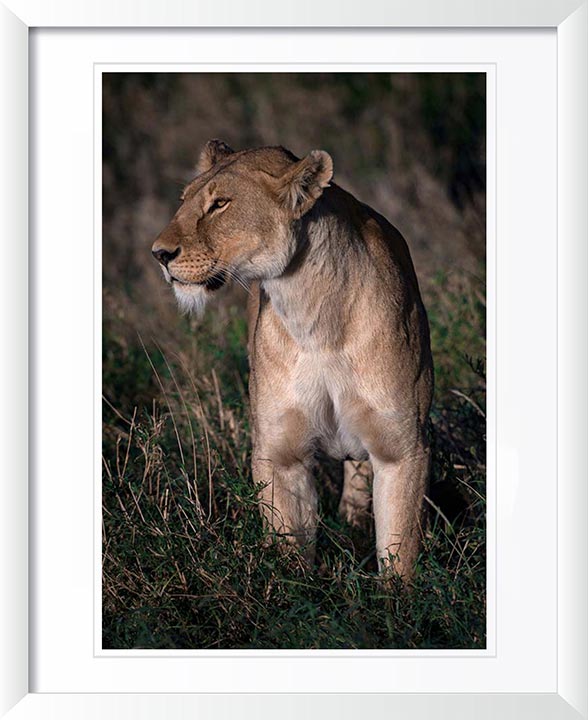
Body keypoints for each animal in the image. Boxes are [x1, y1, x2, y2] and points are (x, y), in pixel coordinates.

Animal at [152, 139, 433, 580]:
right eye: (184, 201)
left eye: (220, 204)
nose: (159, 254)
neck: (314, 318)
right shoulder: (279, 453)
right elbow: (289, 551)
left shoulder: (403, 449)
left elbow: (399, 551)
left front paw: (396, 598)